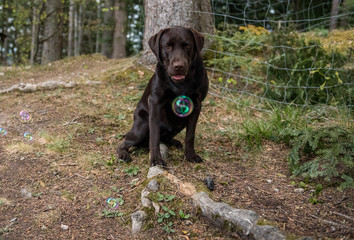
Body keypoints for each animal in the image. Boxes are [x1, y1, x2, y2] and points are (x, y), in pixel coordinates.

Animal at [117, 25, 209, 166]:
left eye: (187, 45)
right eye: (168, 46)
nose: (179, 66)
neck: (182, 83)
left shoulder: (196, 104)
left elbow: (190, 135)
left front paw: (190, 155)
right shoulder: (155, 103)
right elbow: (154, 136)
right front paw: (156, 159)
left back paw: (173, 142)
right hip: (142, 125)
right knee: (125, 143)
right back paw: (123, 153)